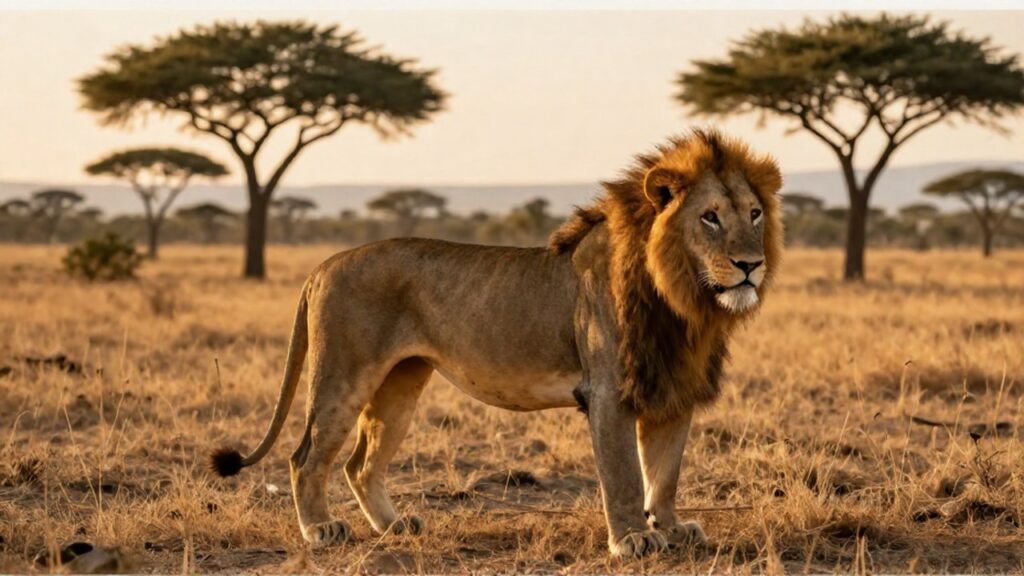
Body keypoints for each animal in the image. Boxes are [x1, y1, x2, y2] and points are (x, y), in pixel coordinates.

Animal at [210, 129, 783, 558]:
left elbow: (664, 474)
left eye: (754, 214)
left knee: (359, 463)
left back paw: (395, 526)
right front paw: (632, 539)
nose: (750, 265)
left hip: (400, 384)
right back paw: (320, 531)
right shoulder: (607, 392)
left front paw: (673, 529)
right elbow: (622, 474)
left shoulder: (672, 390)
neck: (683, 301)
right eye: (710, 216)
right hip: (343, 375)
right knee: (305, 457)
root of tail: (323, 265)